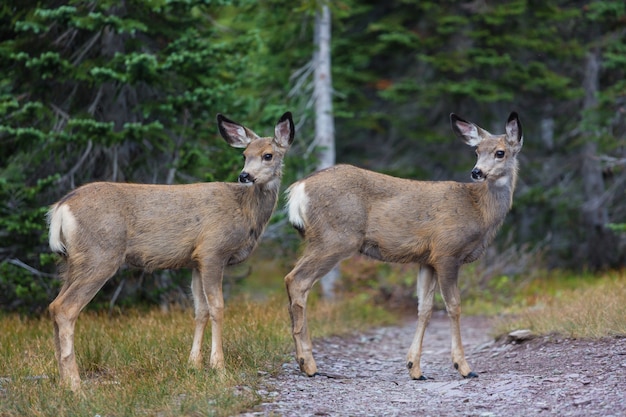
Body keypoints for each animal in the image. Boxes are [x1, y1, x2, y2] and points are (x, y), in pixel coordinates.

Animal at [46, 111, 294, 390]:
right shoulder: (213, 250)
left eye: (268, 155)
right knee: (65, 308)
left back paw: (62, 379)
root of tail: (60, 209)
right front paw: (219, 367)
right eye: (244, 155)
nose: (245, 176)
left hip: (69, 261)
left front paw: (193, 364)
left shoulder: (195, 260)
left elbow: (200, 310)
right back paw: (75, 384)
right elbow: (217, 307)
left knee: (53, 306)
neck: (245, 212)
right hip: (100, 255)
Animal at [286, 110, 520, 380]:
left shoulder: (427, 259)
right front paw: (464, 367)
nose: (477, 172)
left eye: (500, 152)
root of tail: (297, 189)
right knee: (297, 280)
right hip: (335, 238)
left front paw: (414, 368)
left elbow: (424, 308)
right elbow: (454, 306)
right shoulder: (447, 252)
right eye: (477, 151)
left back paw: (302, 361)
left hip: (321, 239)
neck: (480, 210)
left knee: (293, 280)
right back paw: (308, 364)